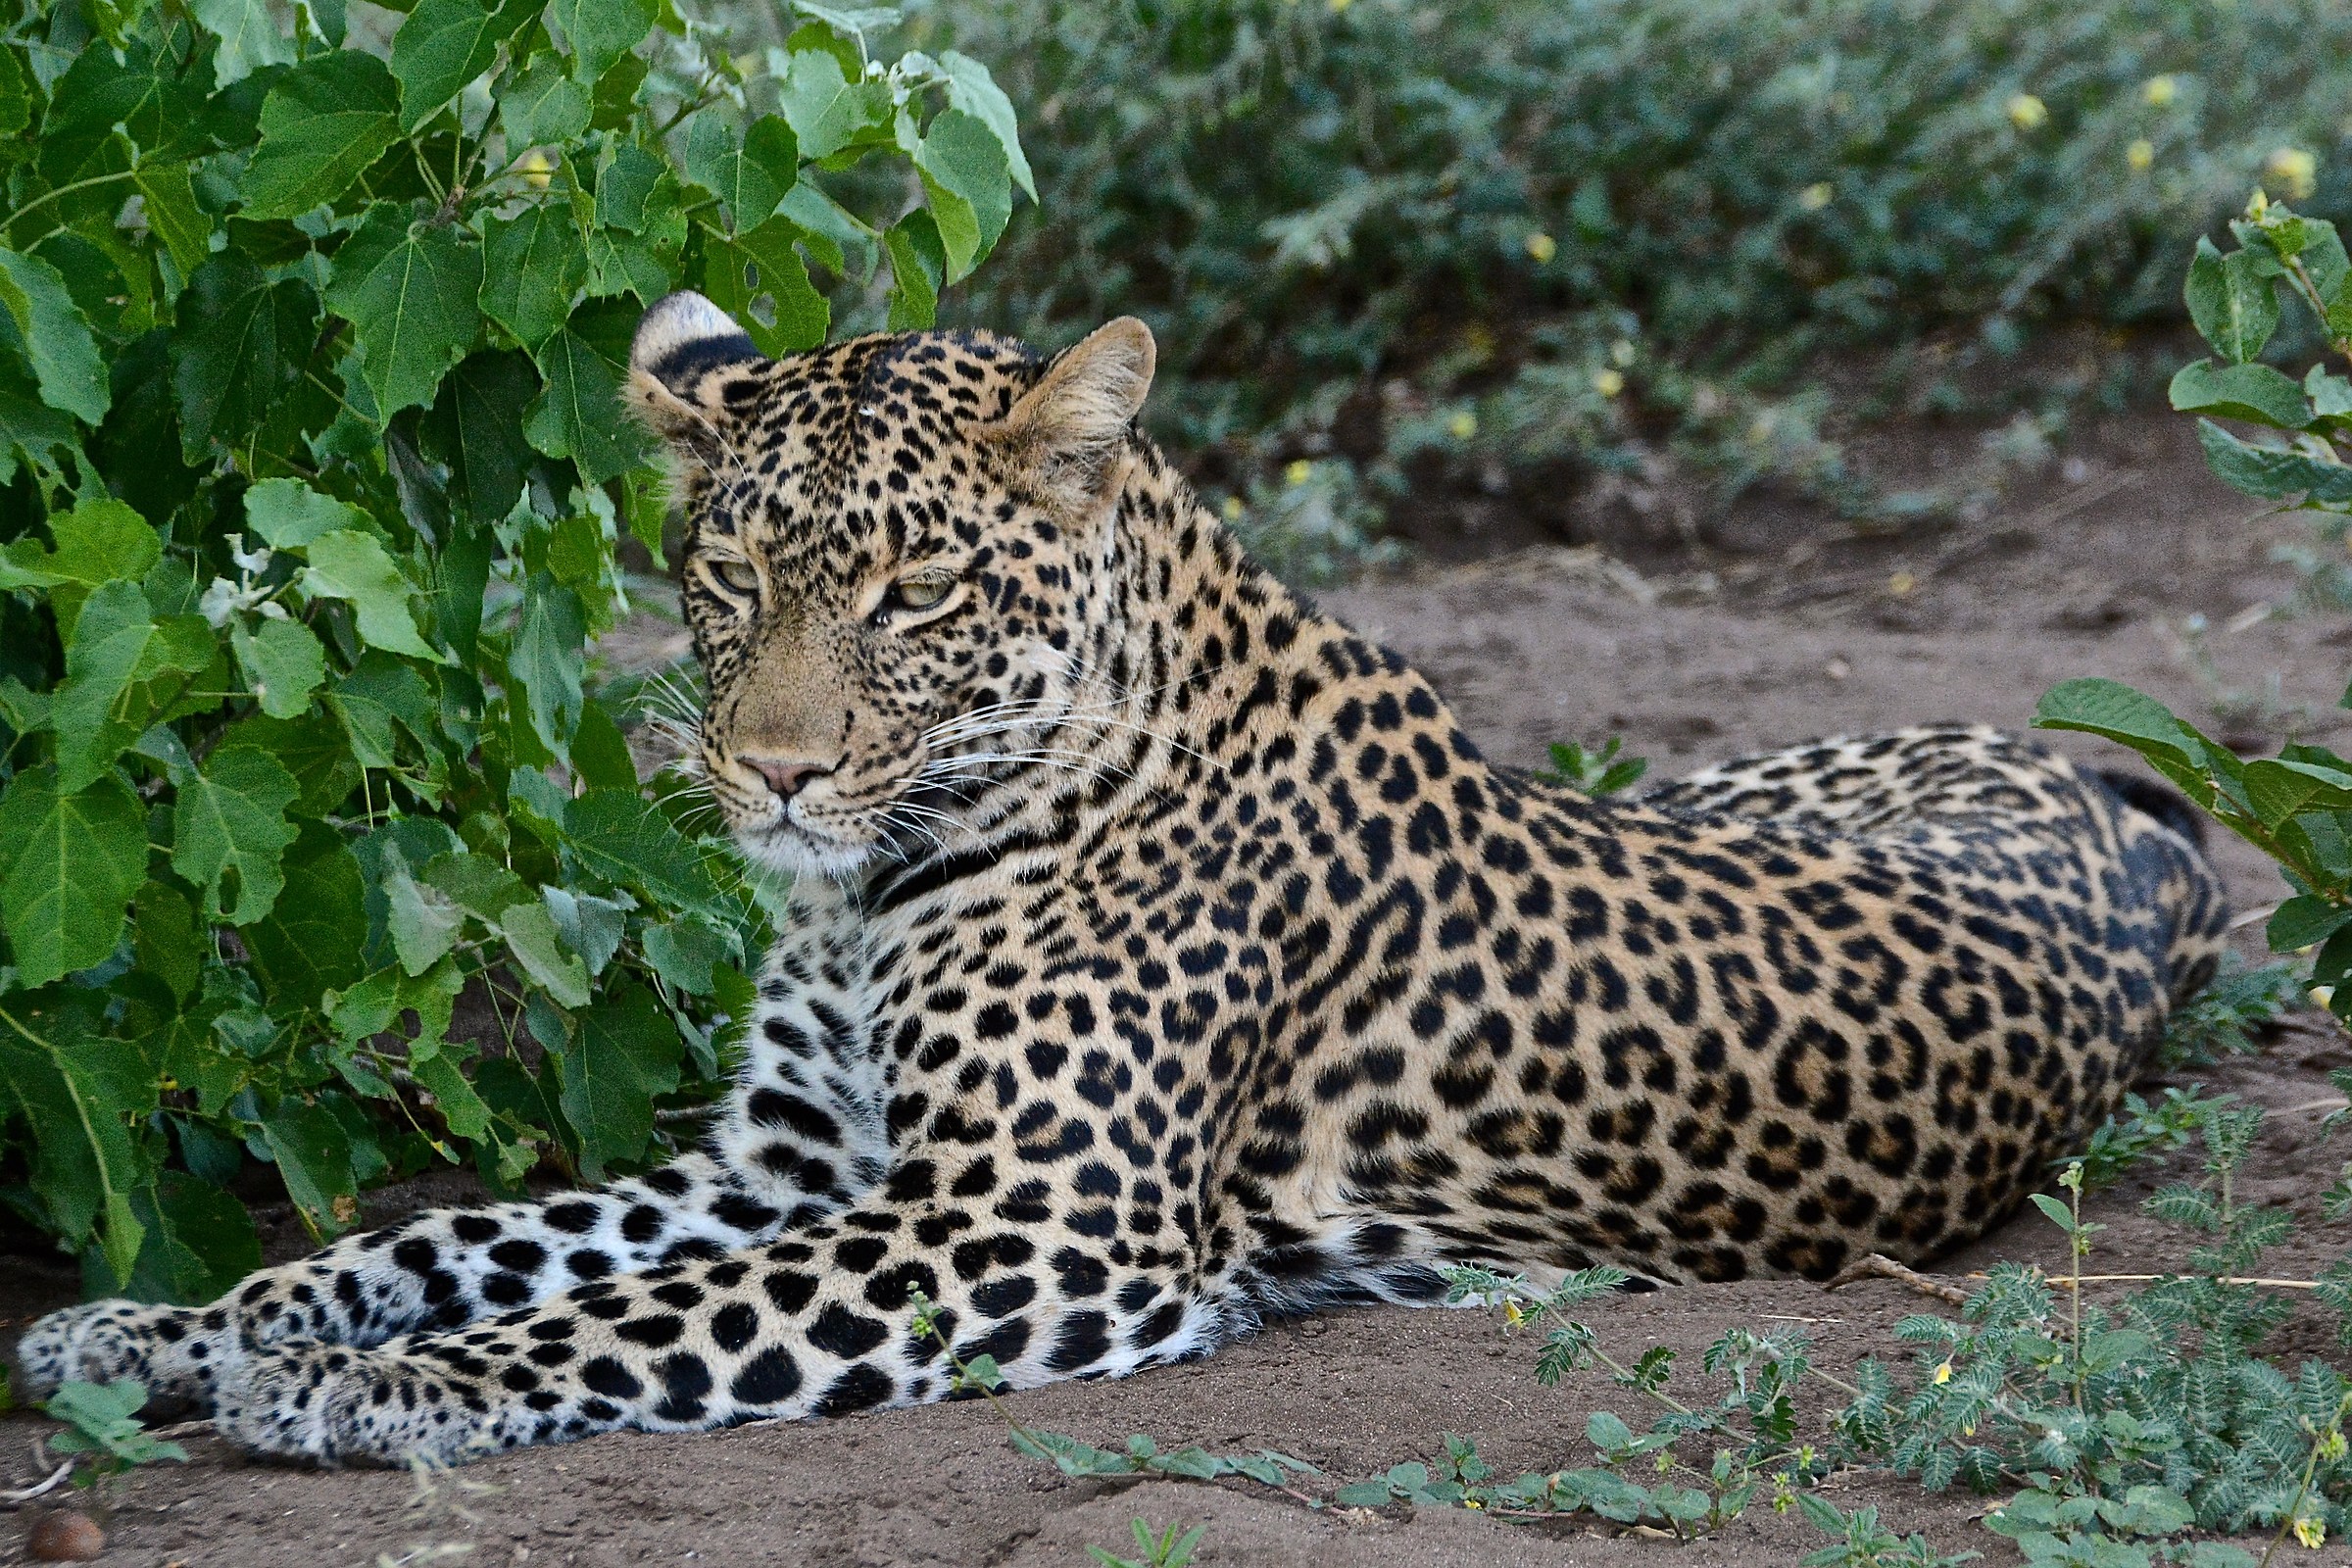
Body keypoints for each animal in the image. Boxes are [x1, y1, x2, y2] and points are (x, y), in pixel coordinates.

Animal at [15, 291, 2228, 1466]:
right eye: (727, 573)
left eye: (913, 590)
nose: (766, 775)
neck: (876, 879)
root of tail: (2125, 810)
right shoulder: (782, 1166)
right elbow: (481, 1235)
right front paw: (175, 1327)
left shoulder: (1025, 1222)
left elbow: (612, 1318)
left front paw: (371, 1383)